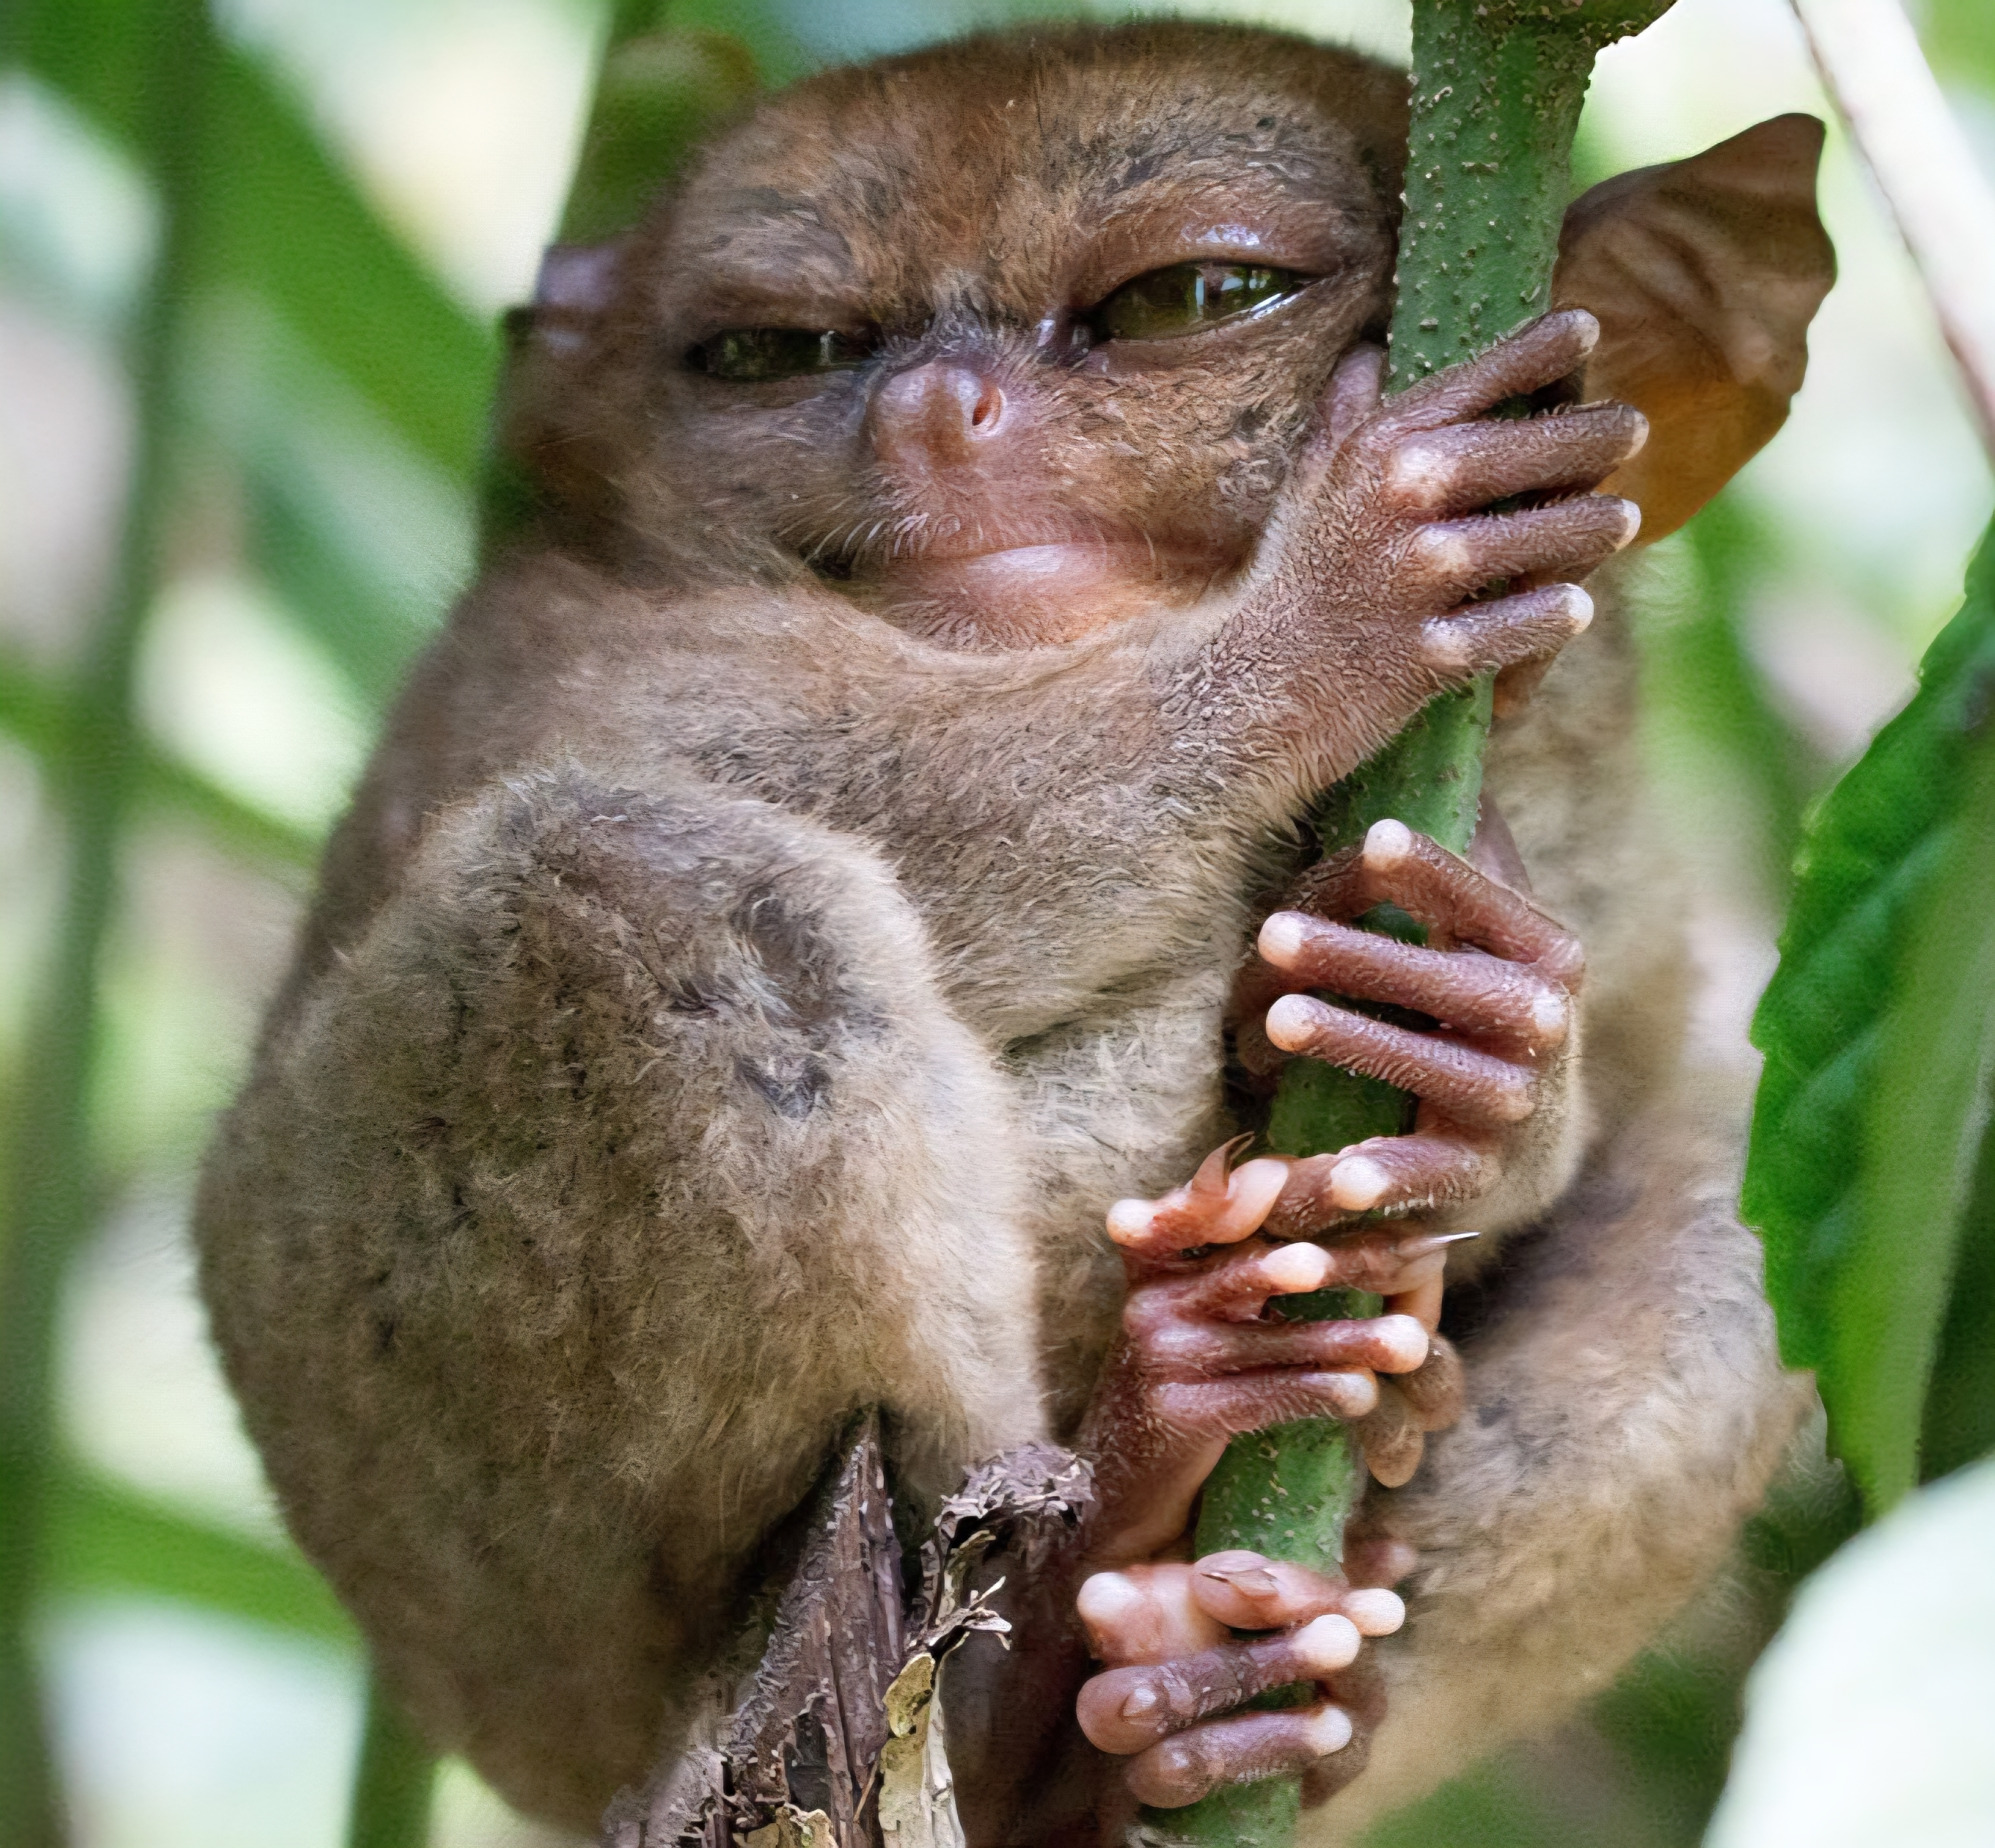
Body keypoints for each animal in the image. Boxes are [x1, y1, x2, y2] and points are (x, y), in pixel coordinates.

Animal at [192, 21, 1835, 1844]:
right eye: (775, 351)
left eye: (1191, 300)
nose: (932, 412)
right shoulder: (549, 652)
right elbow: (879, 809)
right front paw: (1337, 602)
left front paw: (1482, 1036)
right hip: (443, 1522)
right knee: (641, 875)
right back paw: (1087, 1543)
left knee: (1729, 1224)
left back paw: (1173, 1707)